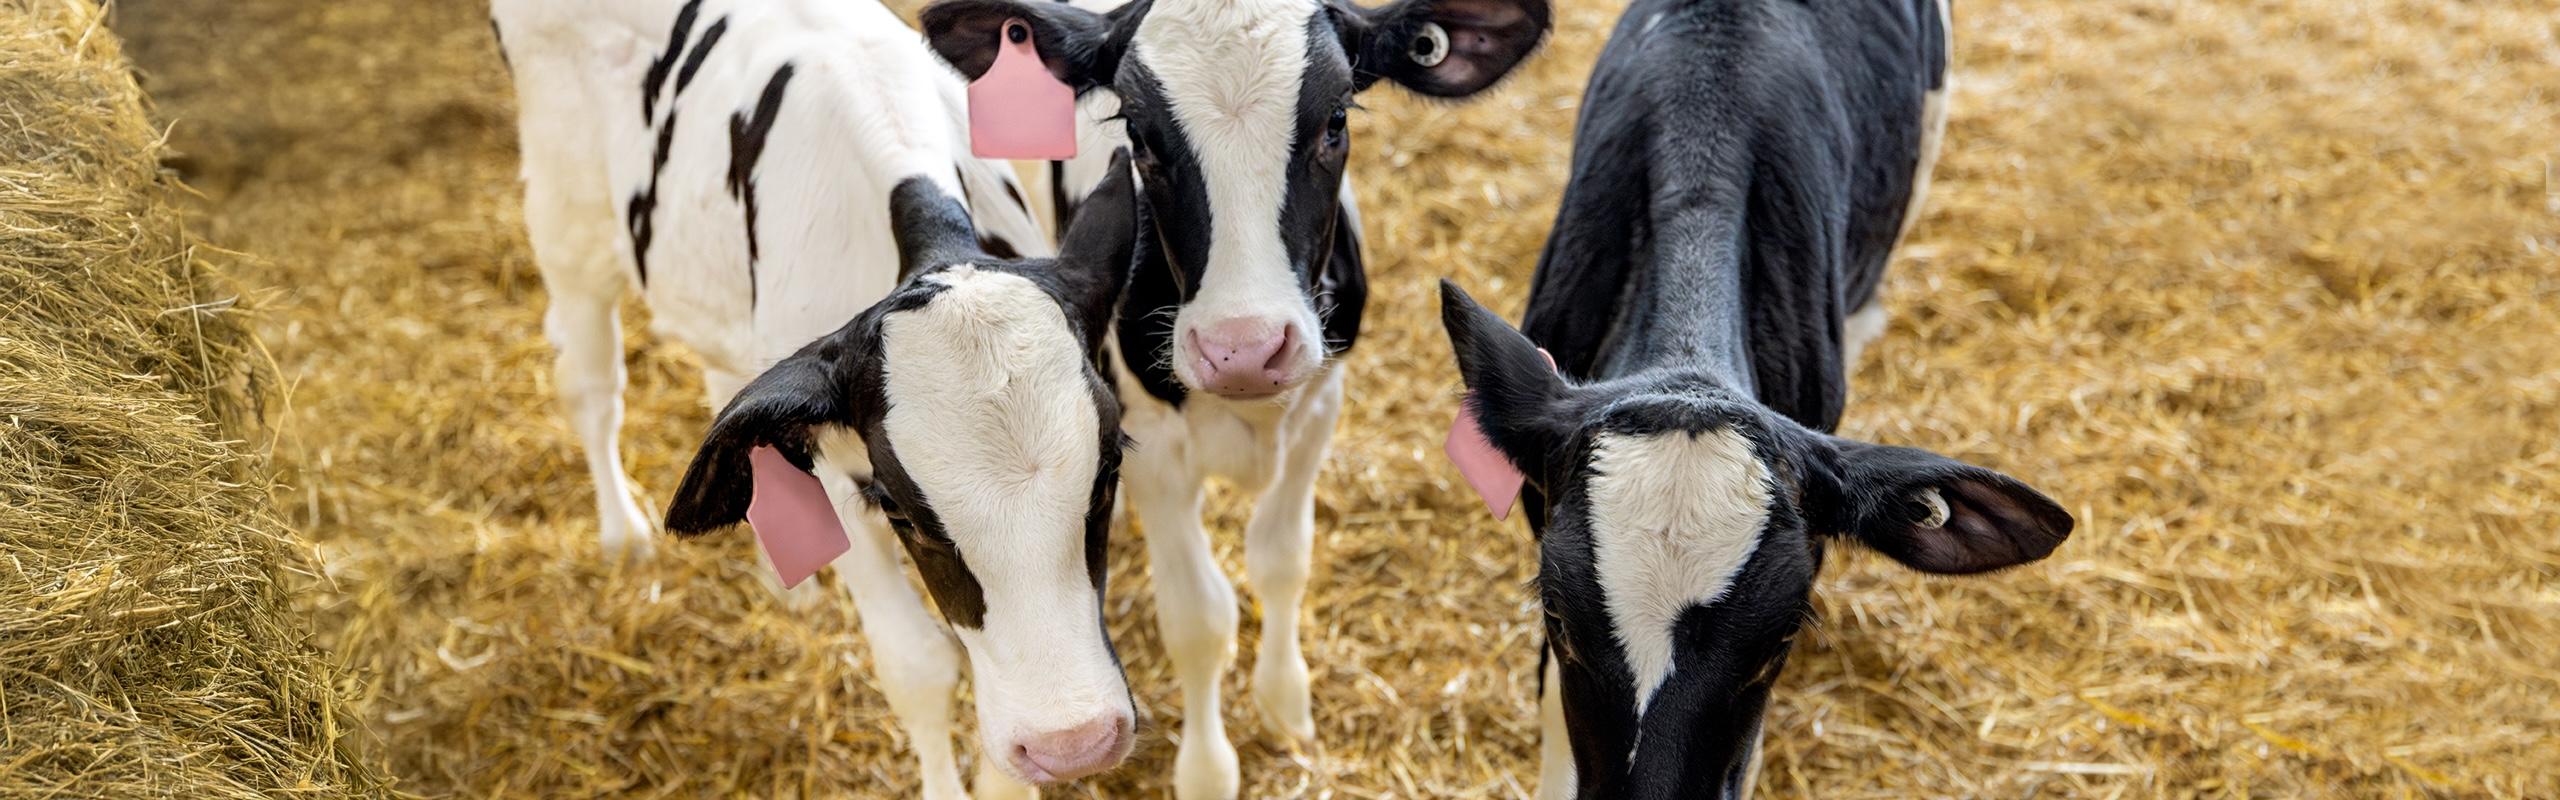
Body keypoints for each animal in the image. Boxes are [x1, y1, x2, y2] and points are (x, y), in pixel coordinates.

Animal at [491, 0, 1148, 796]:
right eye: (900, 510)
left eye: (1109, 471)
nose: (1075, 740)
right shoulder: (837, 480)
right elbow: (918, 668)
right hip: (567, 226)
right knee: (593, 390)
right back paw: (624, 533)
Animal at [917, 1, 1551, 796]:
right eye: (1138, 134)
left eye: (1336, 119)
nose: (1243, 347)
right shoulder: (1151, 444)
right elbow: (1196, 617)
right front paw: (1207, 769)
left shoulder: (1321, 405)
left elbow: (1281, 559)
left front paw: (1285, 701)